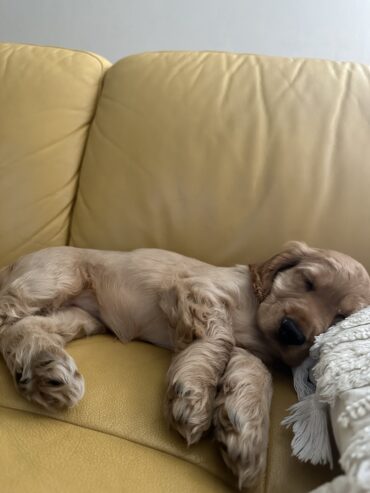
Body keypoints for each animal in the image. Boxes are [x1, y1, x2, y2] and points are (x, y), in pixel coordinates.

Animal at [0, 240, 370, 486]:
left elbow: (257, 376)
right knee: (8, 314)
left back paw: (45, 371)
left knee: (22, 328)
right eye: (307, 282)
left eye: (341, 317)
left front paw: (244, 435)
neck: (255, 311)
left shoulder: (251, 352)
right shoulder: (197, 290)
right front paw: (193, 395)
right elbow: (219, 341)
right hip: (55, 278)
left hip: (78, 316)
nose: (291, 331)